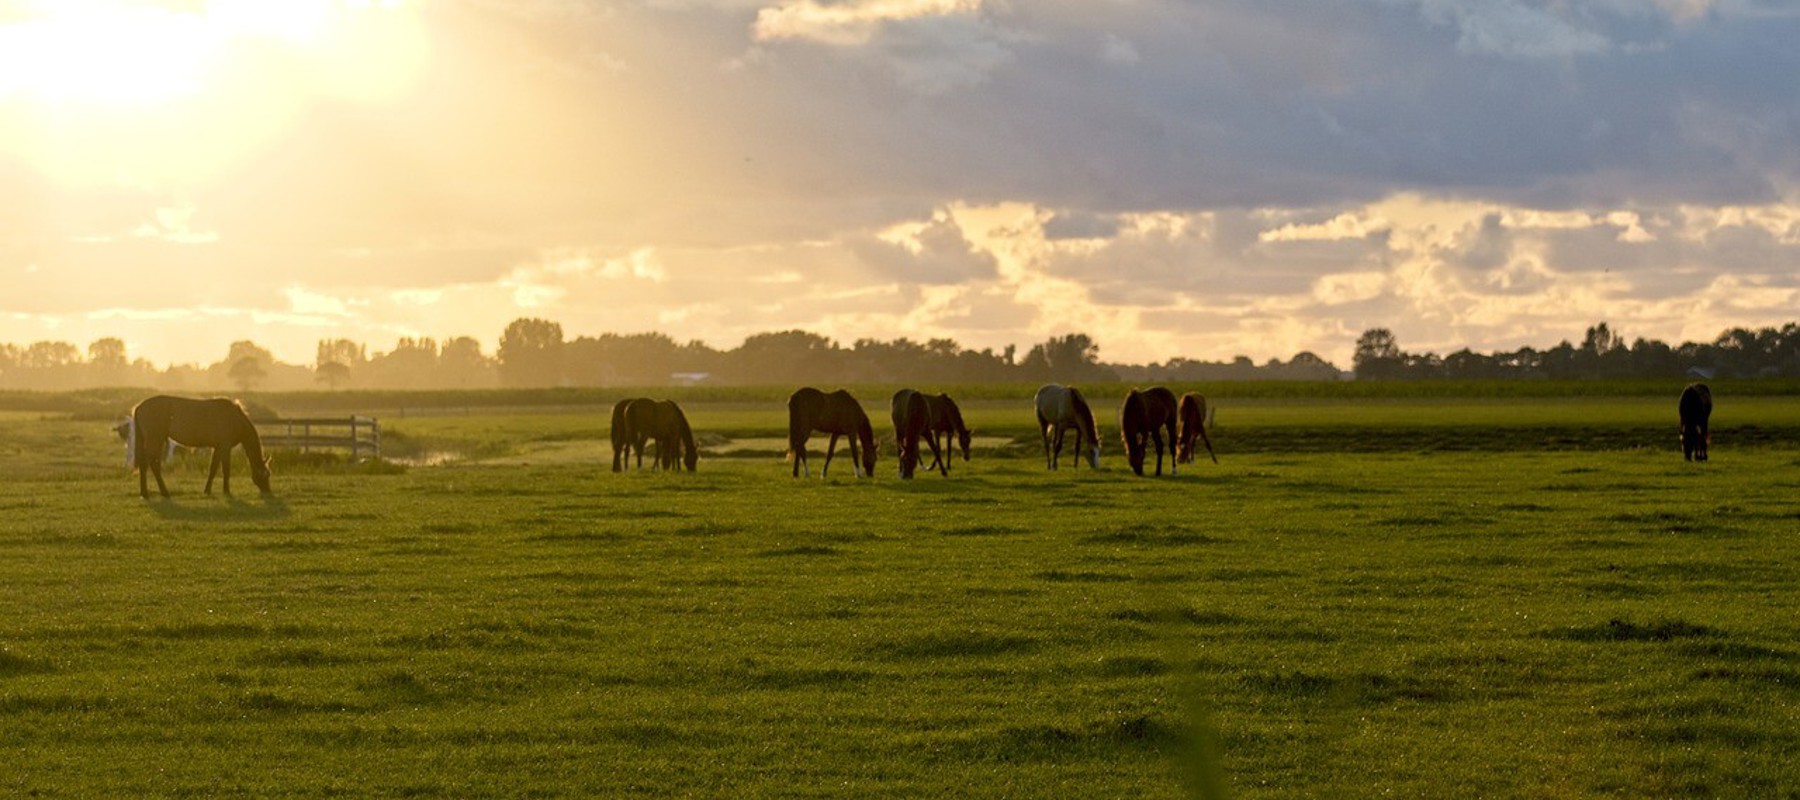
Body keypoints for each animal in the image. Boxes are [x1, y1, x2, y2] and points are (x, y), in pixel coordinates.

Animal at [130, 395, 271, 499]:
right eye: (266, 475)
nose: (268, 491)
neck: (234, 418)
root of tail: (139, 406)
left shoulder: (218, 448)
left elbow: (213, 469)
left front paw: (207, 490)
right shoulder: (225, 447)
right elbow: (226, 469)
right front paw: (226, 491)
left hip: (158, 441)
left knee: (154, 465)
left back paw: (161, 492)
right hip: (154, 440)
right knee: (146, 464)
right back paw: (147, 493)